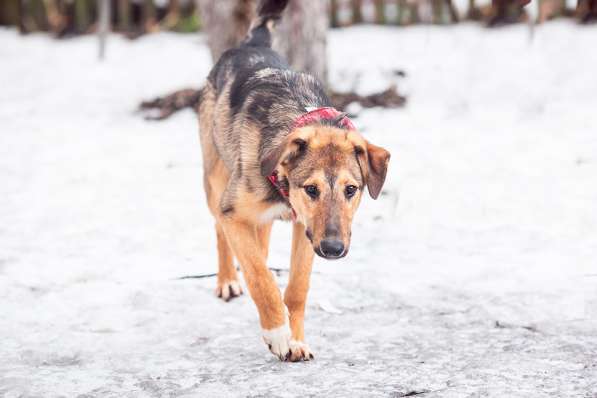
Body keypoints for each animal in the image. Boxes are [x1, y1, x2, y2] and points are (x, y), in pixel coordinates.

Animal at [198, 0, 388, 360]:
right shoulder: (235, 214)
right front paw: (277, 333)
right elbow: (261, 279)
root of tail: (253, 43)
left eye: (351, 190)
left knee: (260, 240)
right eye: (311, 189)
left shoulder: (306, 229)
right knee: (219, 230)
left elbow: (297, 287)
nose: (333, 250)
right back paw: (228, 280)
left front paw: (296, 340)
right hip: (215, 180)